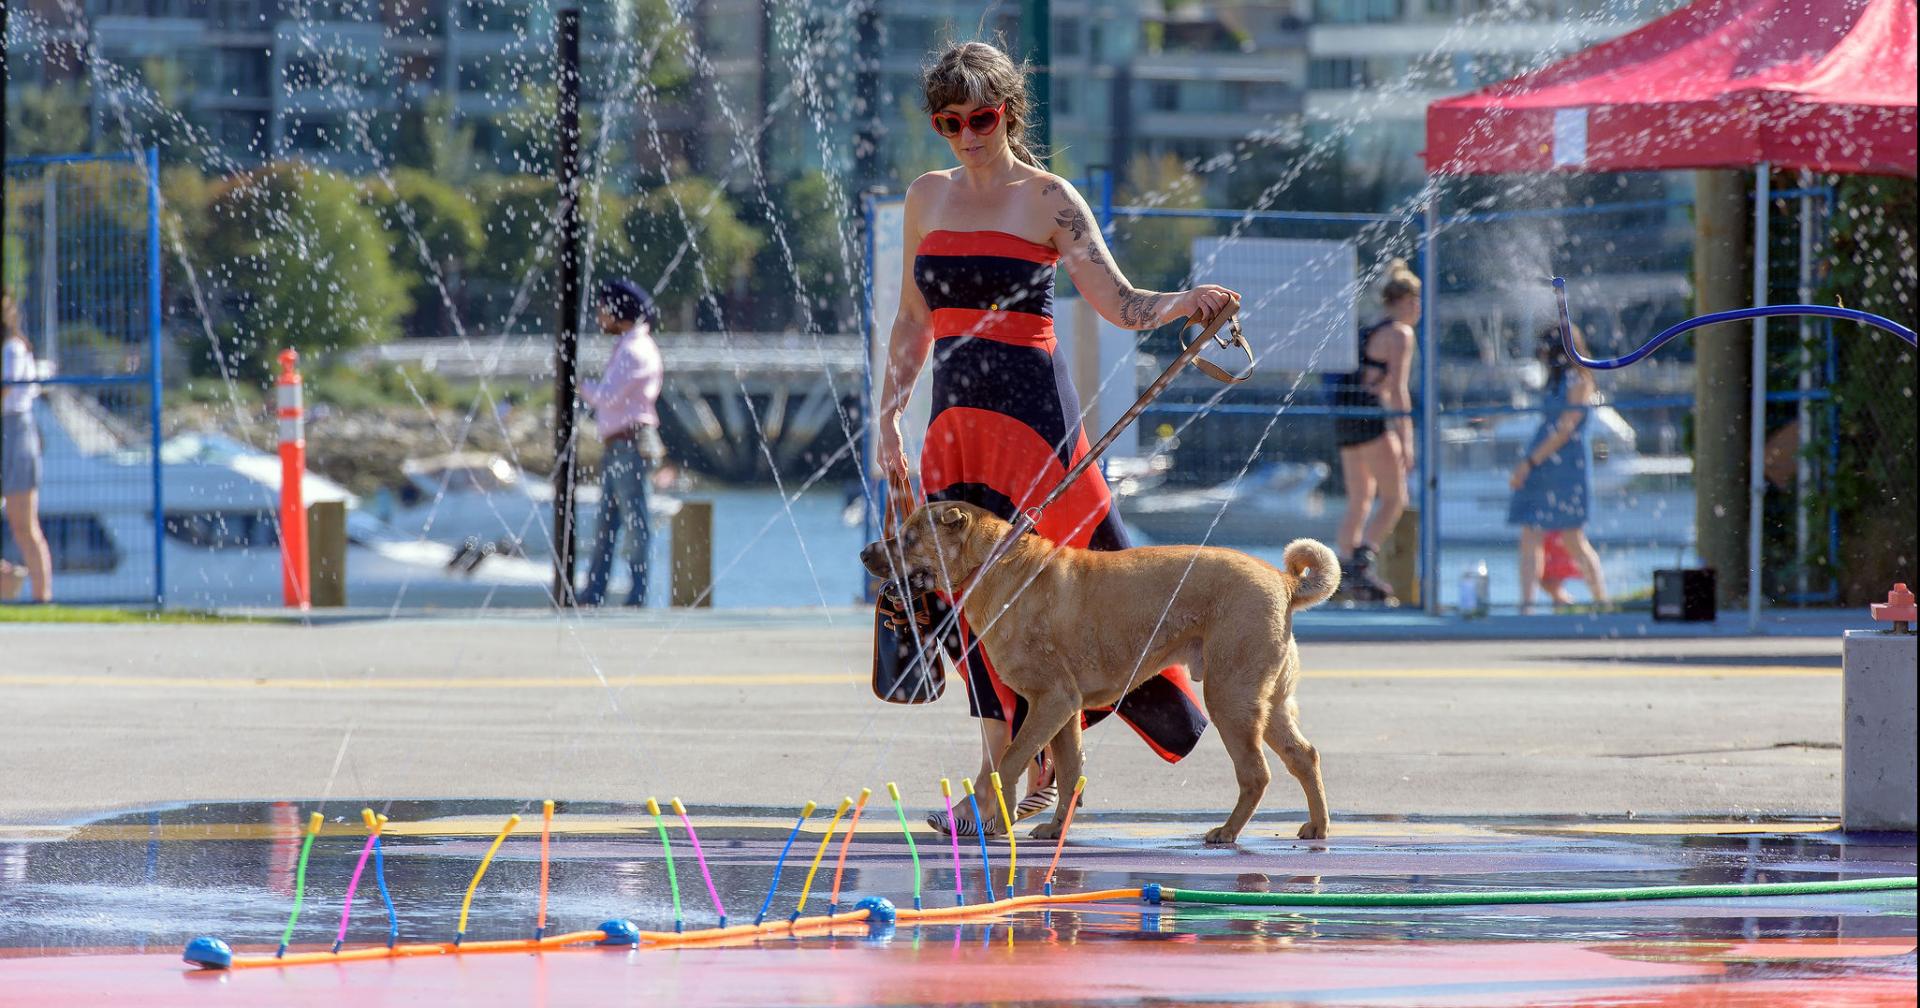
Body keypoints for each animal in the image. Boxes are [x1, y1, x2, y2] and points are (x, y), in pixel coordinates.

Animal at [864, 499, 1344, 840]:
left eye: (909, 537)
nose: (865, 552)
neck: (993, 563)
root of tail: (1284, 582)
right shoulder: (1063, 710)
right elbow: (1068, 771)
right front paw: (1055, 829)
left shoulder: (1051, 700)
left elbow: (1011, 757)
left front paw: (999, 821)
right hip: (1267, 700)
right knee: (1305, 755)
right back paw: (1317, 828)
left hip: (1230, 698)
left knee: (1256, 773)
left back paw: (1226, 832)